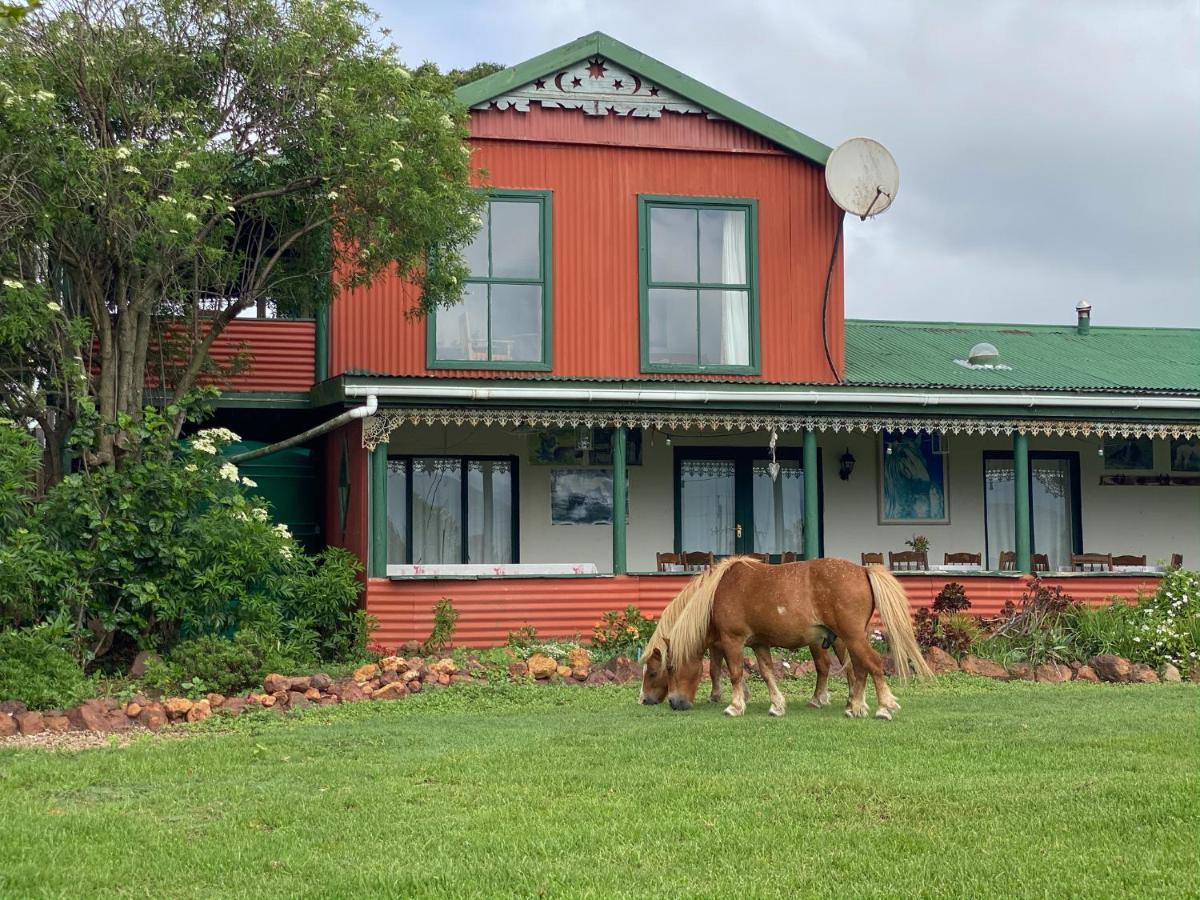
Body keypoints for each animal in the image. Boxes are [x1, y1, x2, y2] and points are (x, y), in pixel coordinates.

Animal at [643, 561, 921, 724]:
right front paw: (777, 705)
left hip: (852, 637)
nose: (673, 703)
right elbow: (767, 673)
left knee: (872, 664)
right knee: (859, 669)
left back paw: (883, 708)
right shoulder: (758, 644)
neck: (717, 593)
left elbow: (734, 673)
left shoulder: (732, 641)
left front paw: (735, 705)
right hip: (851, 639)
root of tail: (864, 570)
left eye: (660, 670)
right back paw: (855, 707)